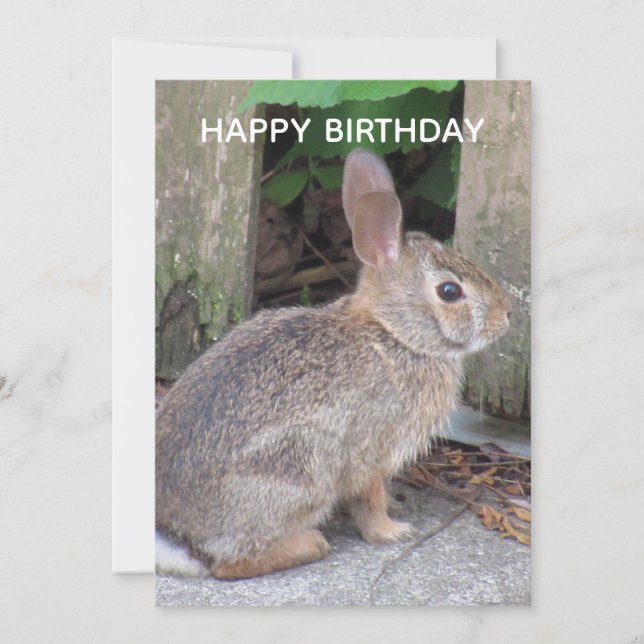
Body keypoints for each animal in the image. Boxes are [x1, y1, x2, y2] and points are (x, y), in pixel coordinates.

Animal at [155, 148, 512, 580]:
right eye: (449, 291)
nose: (506, 315)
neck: (395, 334)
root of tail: (176, 536)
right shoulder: (372, 450)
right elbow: (369, 501)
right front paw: (392, 532)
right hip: (299, 469)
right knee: (229, 564)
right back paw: (310, 544)